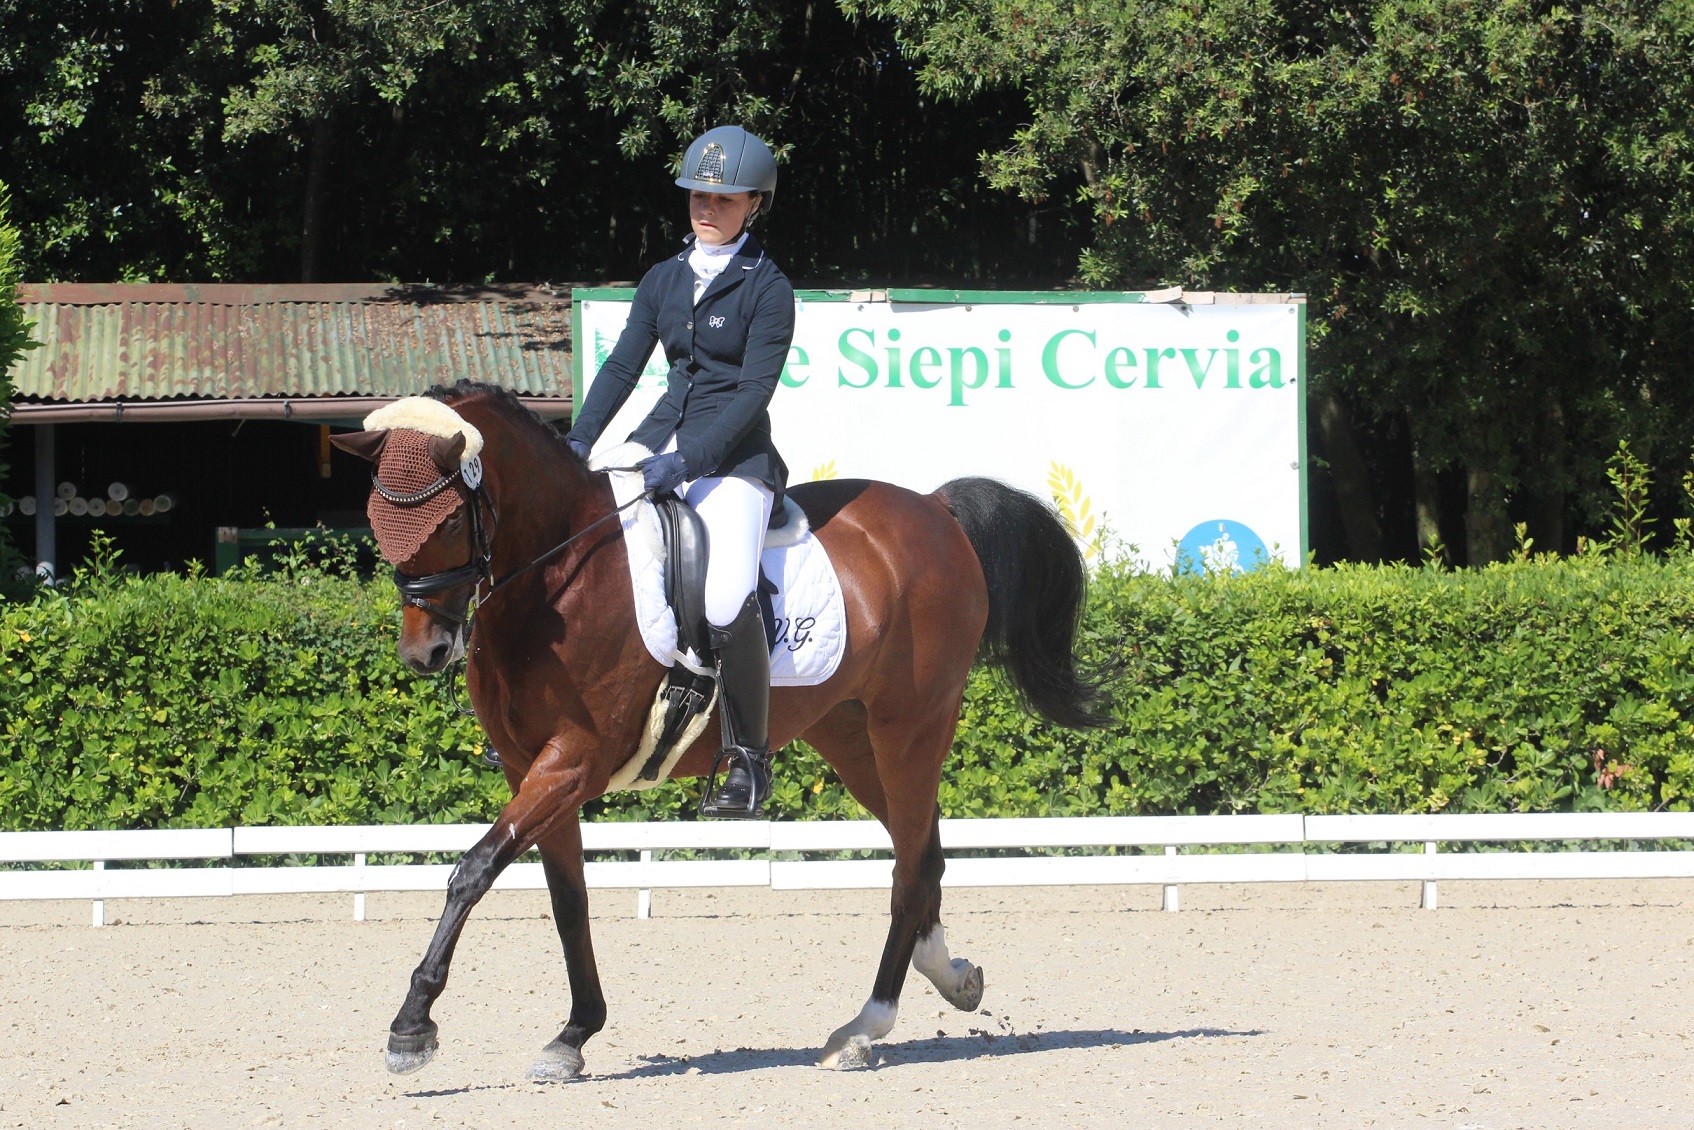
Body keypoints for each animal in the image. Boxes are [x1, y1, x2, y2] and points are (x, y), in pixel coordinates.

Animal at [330, 384, 1104, 1084]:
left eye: (446, 524)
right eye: (374, 520)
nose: (424, 652)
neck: (557, 579)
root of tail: (935, 509)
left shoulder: (571, 763)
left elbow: (472, 871)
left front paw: (412, 1027)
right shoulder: (533, 770)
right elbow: (566, 899)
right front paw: (574, 1034)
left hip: (909, 727)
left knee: (911, 868)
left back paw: (863, 1028)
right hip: (853, 740)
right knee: (927, 853)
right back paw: (952, 977)